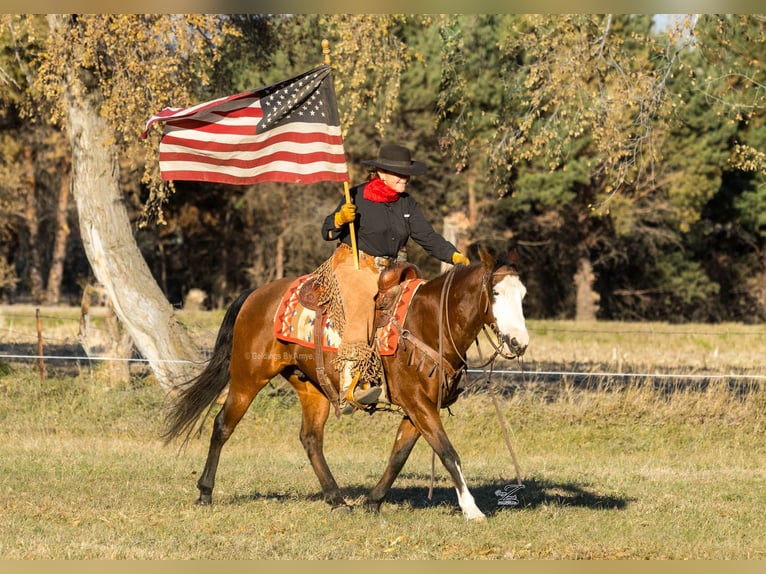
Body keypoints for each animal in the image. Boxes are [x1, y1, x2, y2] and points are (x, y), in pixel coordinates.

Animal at [162, 247, 529, 521]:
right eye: (496, 292)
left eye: (523, 295)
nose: (519, 342)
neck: (428, 322)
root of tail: (257, 294)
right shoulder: (418, 404)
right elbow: (448, 452)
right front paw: (472, 510)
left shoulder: (417, 408)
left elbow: (399, 454)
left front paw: (373, 501)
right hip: (247, 376)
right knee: (223, 425)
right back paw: (205, 492)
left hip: (311, 387)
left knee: (310, 438)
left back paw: (337, 499)